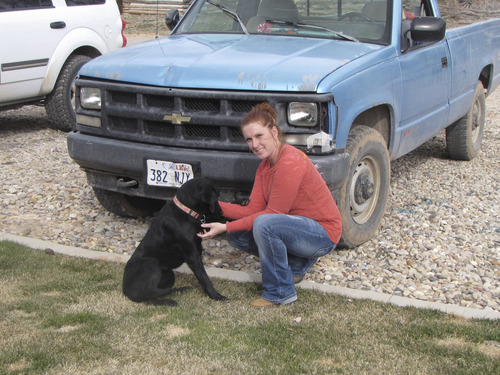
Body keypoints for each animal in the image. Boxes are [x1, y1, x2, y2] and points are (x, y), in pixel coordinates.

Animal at [123, 178, 227, 306]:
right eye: (217, 195)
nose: (221, 212)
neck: (186, 211)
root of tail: (125, 290)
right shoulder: (193, 257)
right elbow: (205, 279)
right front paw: (216, 296)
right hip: (151, 262)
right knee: (149, 293)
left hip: (169, 273)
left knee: (152, 297)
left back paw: (176, 294)